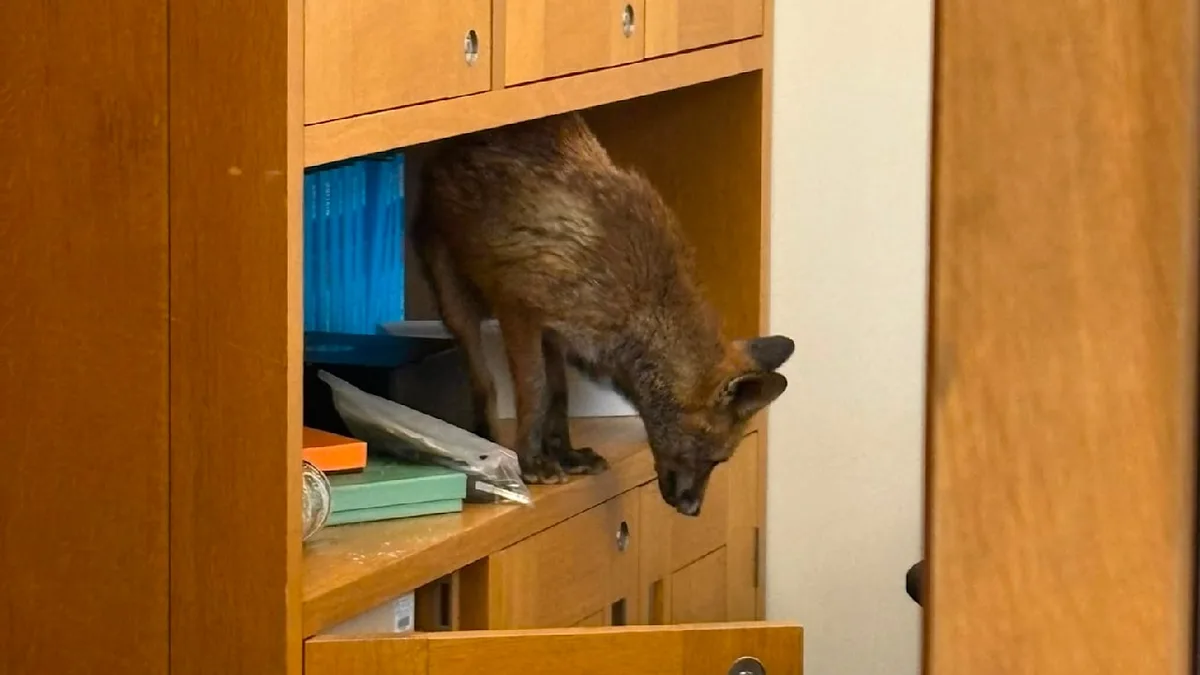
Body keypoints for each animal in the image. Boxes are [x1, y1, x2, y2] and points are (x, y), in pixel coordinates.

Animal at [409, 112, 793, 517]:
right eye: (713, 457)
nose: (693, 510)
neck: (642, 302)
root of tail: (443, 154)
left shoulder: (556, 332)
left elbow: (558, 395)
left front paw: (564, 453)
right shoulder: (518, 309)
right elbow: (535, 391)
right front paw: (531, 462)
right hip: (456, 302)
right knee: (483, 380)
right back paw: (486, 440)